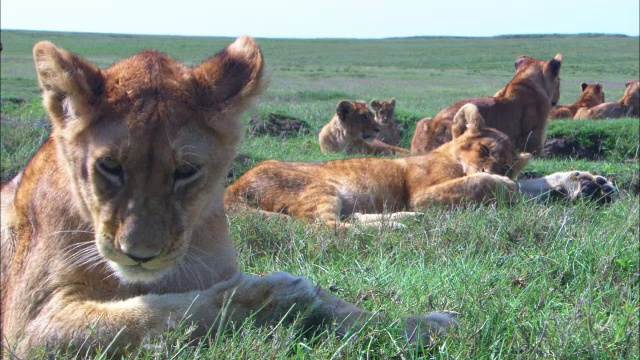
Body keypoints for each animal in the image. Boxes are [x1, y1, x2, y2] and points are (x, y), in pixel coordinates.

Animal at [2, 36, 458, 358]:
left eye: (186, 172)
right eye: (109, 166)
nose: (139, 254)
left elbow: (350, 310)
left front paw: (428, 324)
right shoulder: (27, 330)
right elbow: (160, 312)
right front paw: (281, 295)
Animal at [228, 104, 616, 229]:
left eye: (508, 165)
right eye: (484, 148)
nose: (494, 170)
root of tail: (231, 188)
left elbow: (525, 185)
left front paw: (590, 184)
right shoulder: (423, 194)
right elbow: (487, 186)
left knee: (345, 220)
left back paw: (402, 220)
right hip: (317, 187)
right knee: (324, 229)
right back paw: (398, 228)